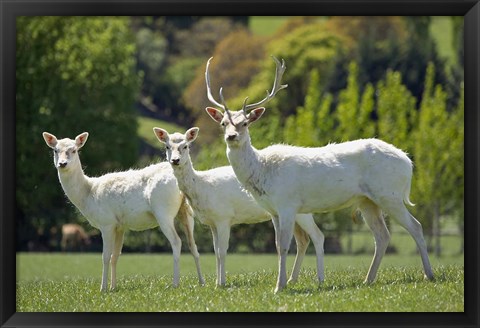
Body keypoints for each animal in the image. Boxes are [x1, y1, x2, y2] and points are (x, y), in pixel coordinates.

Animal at [42, 132, 204, 290]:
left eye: (74, 150)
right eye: (55, 150)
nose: (62, 163)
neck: (88, 195)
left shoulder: (106, 222)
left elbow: (106, 256)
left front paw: (103, 288)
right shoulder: (120, 226)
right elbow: (115, 256)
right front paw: (113, 287)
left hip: (163, 211)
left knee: (177, 241)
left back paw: (175, 284)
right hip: (186, 211)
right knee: (193, 244)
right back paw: (201, 282)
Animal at [153, 127, 326, 288]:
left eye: (186, 146)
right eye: (167, 146)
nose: (175, 160)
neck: (202, 187)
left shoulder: (224, 216)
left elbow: (222, 251)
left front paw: (221, 284)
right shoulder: (212, 222)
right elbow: (215, 251)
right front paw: (216, 281)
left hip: (299, 209)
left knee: (317, 236)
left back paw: (319, 280)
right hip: (292, 212)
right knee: (303, 240)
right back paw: (292, 279)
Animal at [203, 55, 436, 292]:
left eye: (245, 123)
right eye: (223, 123)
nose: (231, 136)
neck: (263, 172)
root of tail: (408, 162)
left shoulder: (288, 204)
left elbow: (284, 246)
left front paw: (280, 286)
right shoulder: (273, 211)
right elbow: (277, 245)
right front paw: (281, 283)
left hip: (390, 194)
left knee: (416, 227)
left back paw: (429, 275)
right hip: (367, 200)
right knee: (382, 236)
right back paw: (368, 279)